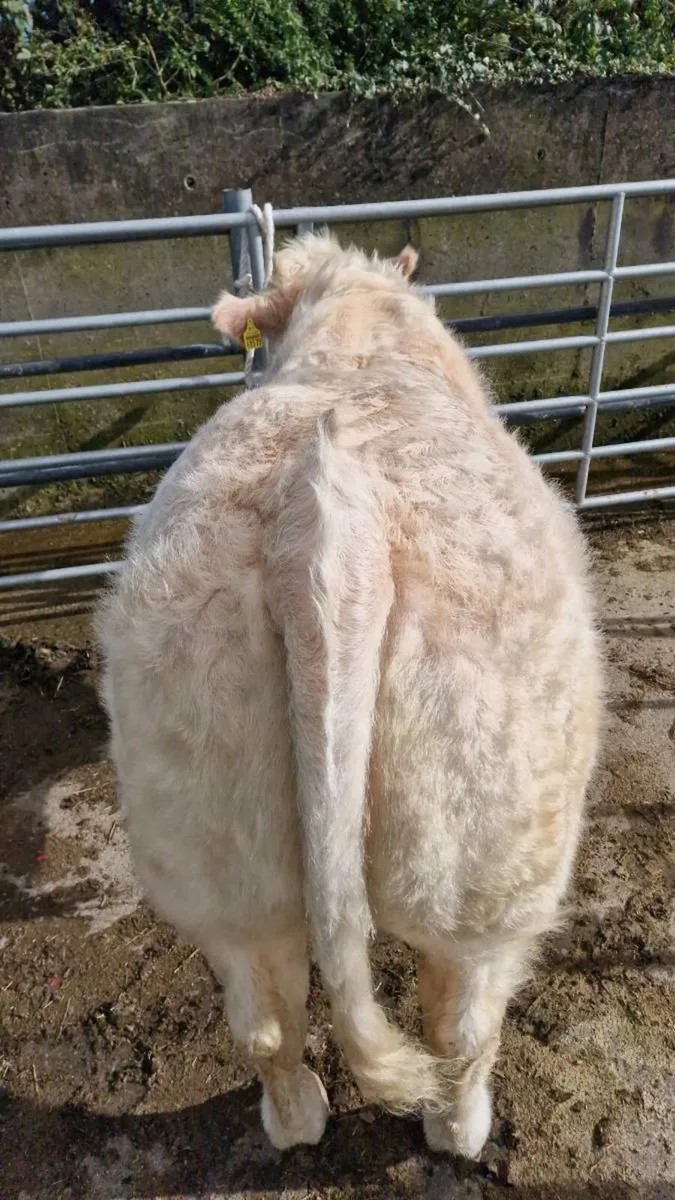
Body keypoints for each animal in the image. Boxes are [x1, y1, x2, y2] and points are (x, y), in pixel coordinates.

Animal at [95, 233, 601, 1157]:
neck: (356, 347)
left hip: (213, 826)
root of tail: (326, 521)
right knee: (462, 1023)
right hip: (489, 857)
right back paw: (458, 1129)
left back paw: (296, 1121)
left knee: (264, 1018)